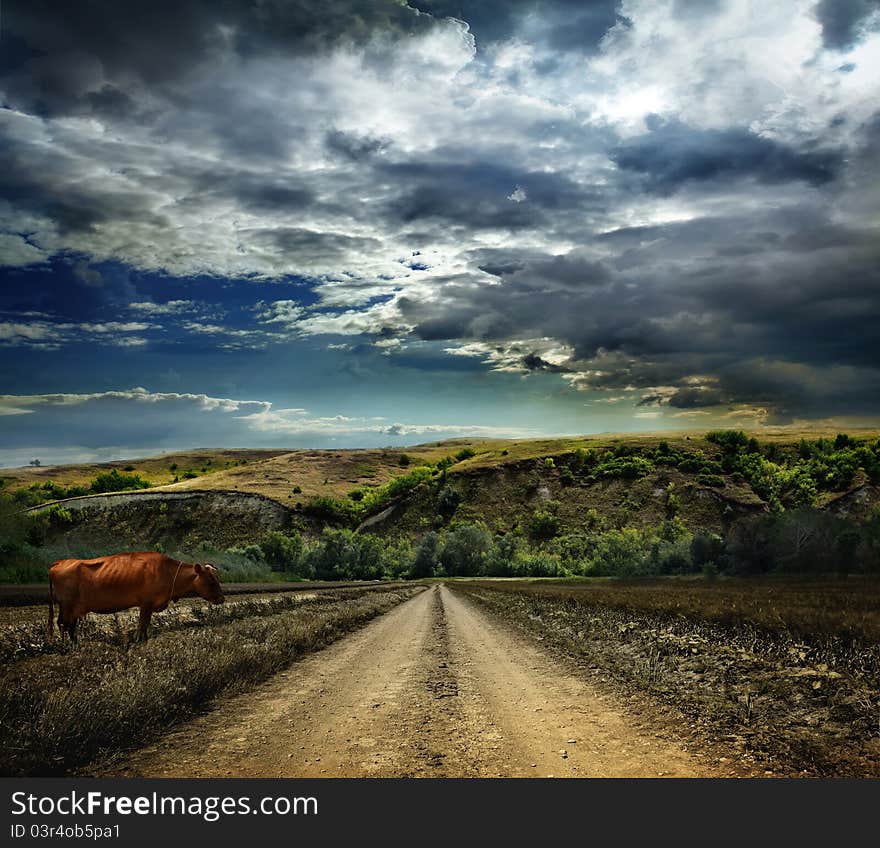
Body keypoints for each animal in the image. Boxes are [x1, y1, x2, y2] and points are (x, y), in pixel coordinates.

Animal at [46, 548, 227, 644]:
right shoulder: (146, 604)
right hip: (67, 605)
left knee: (68, 625)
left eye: (217, 579)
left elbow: (144, 625)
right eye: (211, 580)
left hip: (71, 608)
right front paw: (140, 640)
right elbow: (142, 625)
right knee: (63, 624)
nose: (222, 599)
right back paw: (68, 646)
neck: (167, 572)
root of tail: (60, 562)